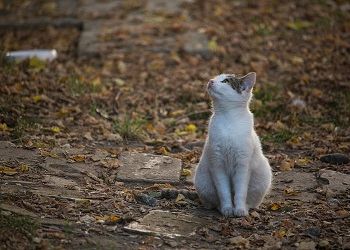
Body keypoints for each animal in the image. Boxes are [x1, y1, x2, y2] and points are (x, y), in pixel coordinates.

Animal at [194, 72, 270, 217]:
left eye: (225, 81)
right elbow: (224, 193)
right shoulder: (218, 165)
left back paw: (245, 208)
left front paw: (239, 210)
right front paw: (227, 209)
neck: (228, 119)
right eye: (215, 78)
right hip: (203, 181)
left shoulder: (242, 166)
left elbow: (240, 193)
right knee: (213, 202)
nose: (210, 81)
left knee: (251, 202)